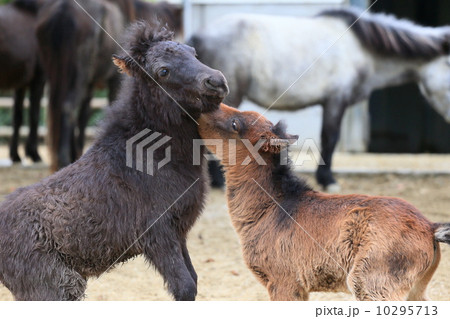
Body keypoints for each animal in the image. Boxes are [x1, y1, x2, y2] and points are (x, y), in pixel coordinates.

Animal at [0, 0, 45, 164]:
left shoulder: (20, 85)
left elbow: (17, 118)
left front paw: (15, 155)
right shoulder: (38, 80)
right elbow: (34, 115)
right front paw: (34, 154)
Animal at [36, 0, 134, 172]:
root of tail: (64, 9)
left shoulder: (89, 85)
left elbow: (83, 116)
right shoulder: (115, 80)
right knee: (68, 106)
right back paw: (63, 158)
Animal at [198, 104, 450, 302]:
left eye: (234, 124)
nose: (202, 110)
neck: (271, 207)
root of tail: (430, 227)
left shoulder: (285, 282)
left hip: (373, 282)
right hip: (415, 289)